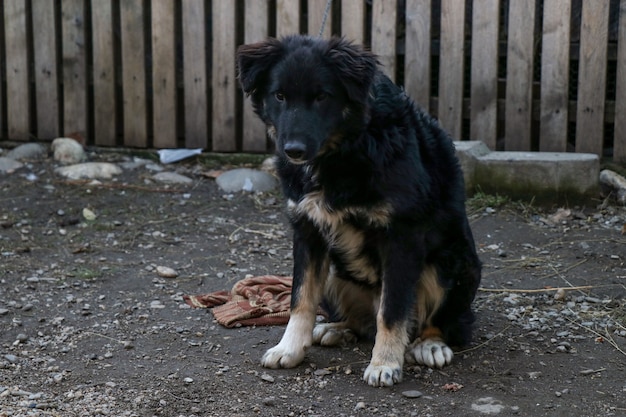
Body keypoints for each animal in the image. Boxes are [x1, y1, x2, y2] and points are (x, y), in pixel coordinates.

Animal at [236, 35, 480, 386]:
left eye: (322, 97)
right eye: (279, 96)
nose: (293, 150)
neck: (348, 147)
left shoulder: (402, 236)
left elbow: (392, 310)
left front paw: (384, 364)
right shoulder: (308, 230)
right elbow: (300, 298)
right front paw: (290, 348)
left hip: (449, 262)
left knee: (439, 321)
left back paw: (430, 344)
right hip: (335, 269)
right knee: (362, 322)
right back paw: (336, 328)